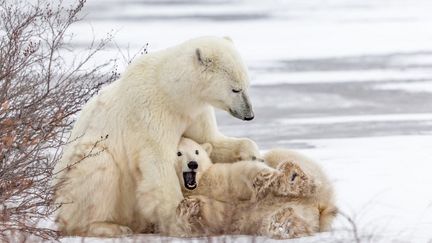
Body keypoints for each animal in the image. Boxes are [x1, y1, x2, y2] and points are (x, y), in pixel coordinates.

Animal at [51, 37, 260, 236]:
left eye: (247, 85)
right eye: (235, 89)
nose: (249, 115)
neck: (171, 92)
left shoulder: (194, 113)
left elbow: (209, 140)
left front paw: (253, 154)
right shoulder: (150, 112)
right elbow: (159, 163)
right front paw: (180, 220)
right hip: (76, 176)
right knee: (99, 168)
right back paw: (109, 227)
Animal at [174, 138, 336, 238]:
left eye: (196, 151)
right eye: (179, 153)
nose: (193, 164)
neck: (200, 184)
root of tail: (320, 206)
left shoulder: (219, 175)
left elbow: (248, 173)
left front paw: (283, 180)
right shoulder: (221, 214)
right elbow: (213, 217)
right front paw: (190, 206)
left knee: (277, 155)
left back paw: (294, 174)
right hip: (264, 218)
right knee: (284, 220)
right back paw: (284, 222)